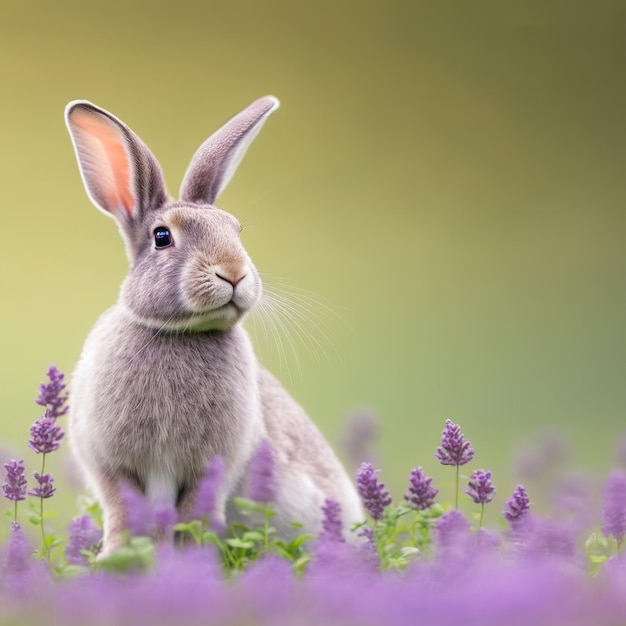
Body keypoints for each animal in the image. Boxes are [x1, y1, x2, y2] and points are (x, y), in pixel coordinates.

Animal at [64, 95, 360, 552]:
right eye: (162, 236)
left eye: (236, 231)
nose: (234, 273)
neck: (179, 333)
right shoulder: (110, 463)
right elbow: (122, 512)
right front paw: (115, 556)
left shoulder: (210, 468)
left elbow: (192, 516)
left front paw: (187, 559)